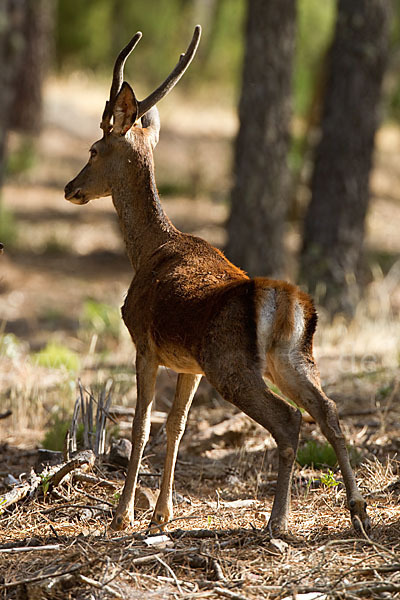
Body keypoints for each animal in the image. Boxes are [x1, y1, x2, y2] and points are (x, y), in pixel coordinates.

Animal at [64, 25, 370, 536]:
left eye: (93, 149)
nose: (71, 188)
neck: (148, 250)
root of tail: (285, 302)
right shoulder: (189, 365)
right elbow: (176, 426)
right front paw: (161, 515)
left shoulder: (144, 343)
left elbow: (141, 426)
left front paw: (124, 515)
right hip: (292, 359)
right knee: (327, 410)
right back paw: (358, 511)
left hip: (233, 366)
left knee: (290, 420)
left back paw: (277, 521)